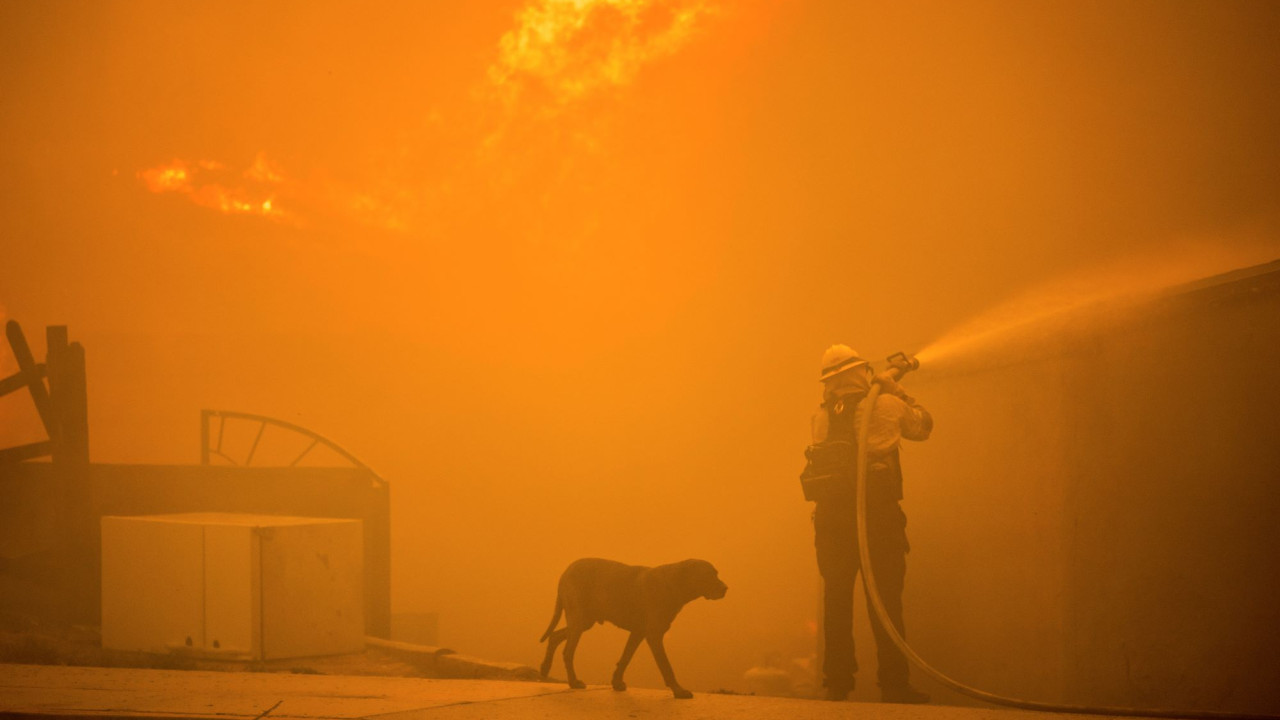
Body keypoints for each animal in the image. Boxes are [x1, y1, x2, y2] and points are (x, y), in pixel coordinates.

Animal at [535, 556, 727, 696]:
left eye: (716, 573)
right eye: (709, 575)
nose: (726, 588)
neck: (673, 584)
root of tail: (567, 571)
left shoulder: (638, 632)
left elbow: (626, 657)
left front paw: (617, 682)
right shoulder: (653, 634)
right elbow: (666, 666)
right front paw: (678, 690)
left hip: (583, 622)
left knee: (554, 636)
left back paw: (545, 668)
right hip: (579, 620)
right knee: (567, 652)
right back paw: (573, 682)